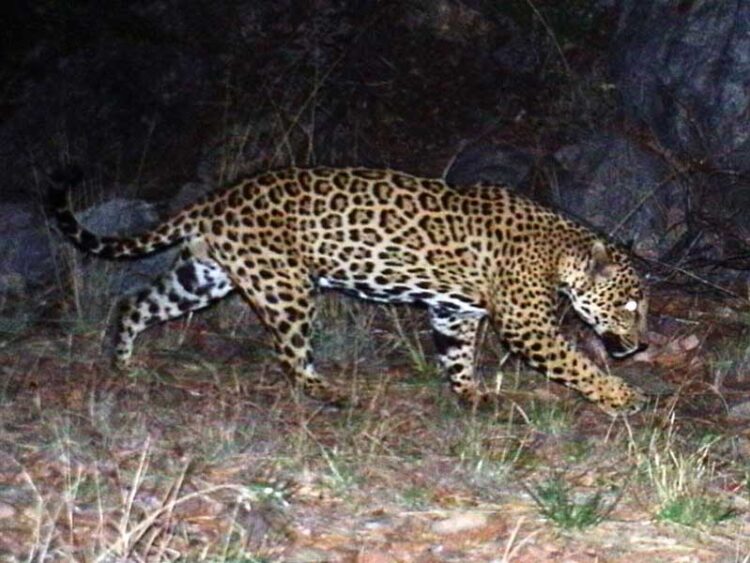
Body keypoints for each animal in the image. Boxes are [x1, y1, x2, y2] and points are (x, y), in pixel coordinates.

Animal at [50, 166, 649, 416]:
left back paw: (122, 364)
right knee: (291, 357)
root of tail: (217, 198)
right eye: (629, 305)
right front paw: (623, 396)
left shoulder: (453, 312)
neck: (561, 251)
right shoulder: (528, 327)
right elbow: (577, 363)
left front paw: (471, 395)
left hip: (203, 278)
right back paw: (331, 393)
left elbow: (457, 357)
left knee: (135, 302)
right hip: (285, 288)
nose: (643, 343)